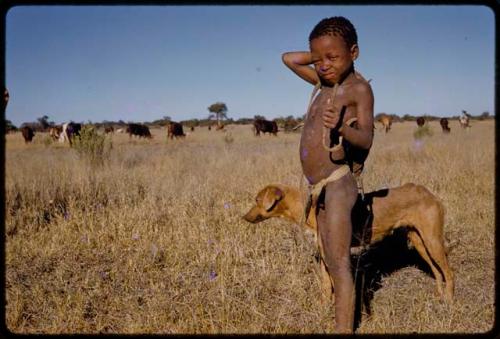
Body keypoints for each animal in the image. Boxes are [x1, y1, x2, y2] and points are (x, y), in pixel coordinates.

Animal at [244, 183, 456, 302]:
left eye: (257, 200)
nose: (244, 217)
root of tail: (429, 193)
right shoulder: (324, 256)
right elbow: (326, 286)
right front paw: (324, 307)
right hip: (420, 242)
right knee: (437, 271)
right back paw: (440, 294)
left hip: (433, 241)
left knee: (449, 272)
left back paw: (450, 299)